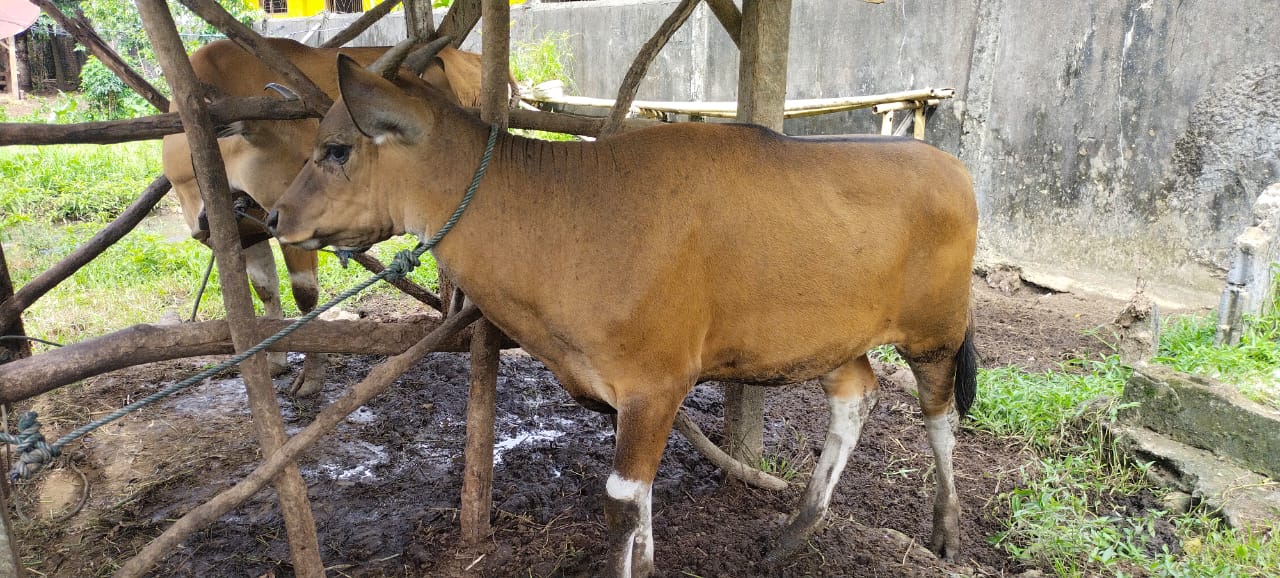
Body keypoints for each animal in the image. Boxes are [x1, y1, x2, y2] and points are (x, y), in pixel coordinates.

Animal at [161, 37, 481, 395]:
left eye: (327, 153)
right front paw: (275, 361)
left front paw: (312, 376)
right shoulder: (242, 235)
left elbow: (305, 296)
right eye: (307, 160)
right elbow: (265, 290)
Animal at [269, 54, 979, 577]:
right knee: (856, 395)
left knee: (940, 418)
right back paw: (796, 529)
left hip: (937, 331)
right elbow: (641, 504)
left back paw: (946, 530)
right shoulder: (626, 392)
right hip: (833, 339)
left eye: (335, 149)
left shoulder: (654, 383)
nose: (274, 217)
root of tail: (954, 167)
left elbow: (620, 505)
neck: (568, 215)